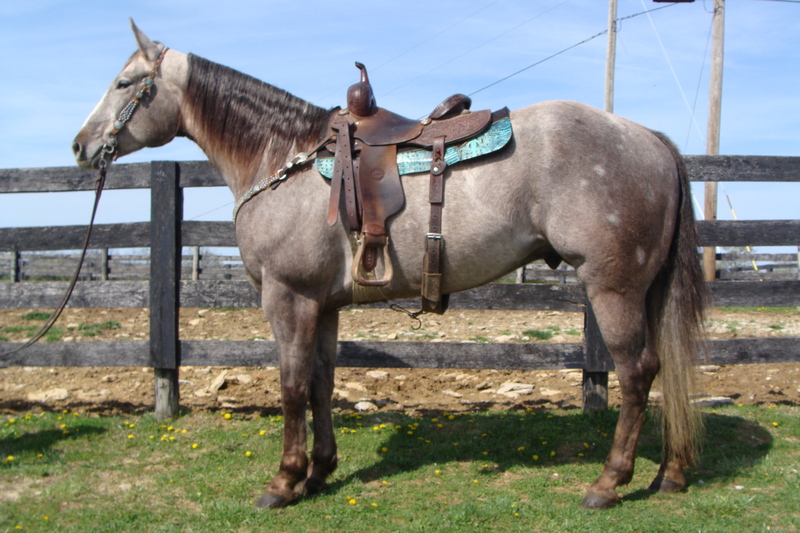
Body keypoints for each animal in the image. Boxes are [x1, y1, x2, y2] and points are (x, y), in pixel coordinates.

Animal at [72, 21, 707, 510]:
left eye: (124, 82)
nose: (80, 146)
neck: (283, 160)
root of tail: (648, 139)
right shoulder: (323, 305)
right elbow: (322, 383)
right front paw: (320, 470)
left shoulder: (288, 299)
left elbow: (291, 387)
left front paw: (283, 481)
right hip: (645, 291)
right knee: (666, 369)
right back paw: (670, 474)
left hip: (613, 289)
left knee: (637, 373)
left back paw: (608, 483)